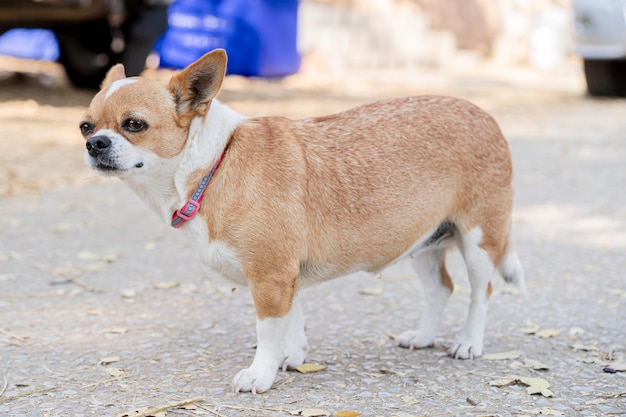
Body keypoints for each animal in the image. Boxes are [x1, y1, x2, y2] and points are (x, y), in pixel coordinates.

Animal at [80, 48, 524, 394]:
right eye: (85, 125)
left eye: (134, 124)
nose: (93, 143)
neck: (215, 163)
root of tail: (484, 115)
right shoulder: (283, 277)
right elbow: (291, 322)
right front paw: (290, 357)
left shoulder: (271, 277)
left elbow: (267, 330)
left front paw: (261, 373)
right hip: (422, 244)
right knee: (440, 289)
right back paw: (426, 336)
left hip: (479, 242)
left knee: (480, 293)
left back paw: (469, 343)